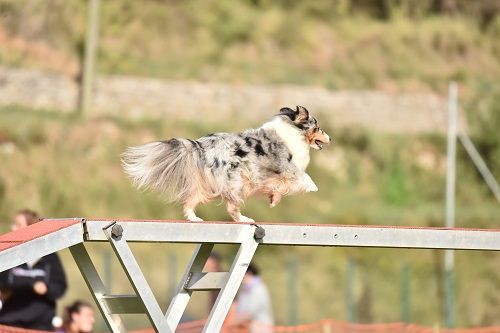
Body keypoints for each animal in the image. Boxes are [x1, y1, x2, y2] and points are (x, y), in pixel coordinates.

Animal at [120, 105, 330, 222]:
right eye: (318, 127)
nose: (330, 138)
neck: (294, 130)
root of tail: (200, 145)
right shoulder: (289, 171)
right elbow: (303, 178)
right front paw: (313, 187)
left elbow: (277, 188)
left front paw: (273, 199)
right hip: (237, 182)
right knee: (232, 208)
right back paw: (244, 219)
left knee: (190, 199)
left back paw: (194, 218)